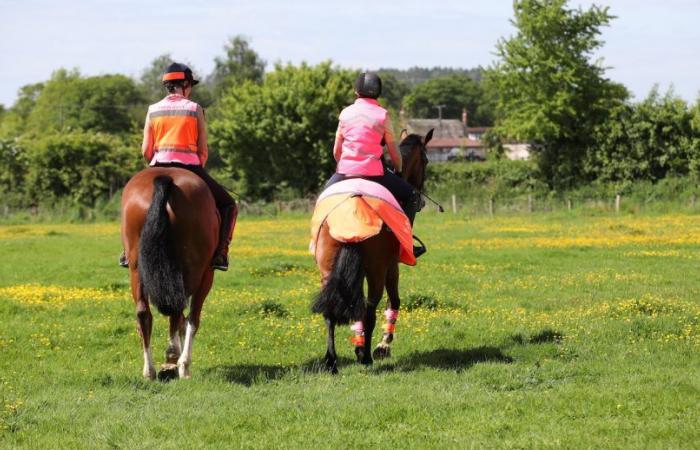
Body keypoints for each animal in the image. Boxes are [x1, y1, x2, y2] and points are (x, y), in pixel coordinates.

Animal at [120, 167, 219, 378]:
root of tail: (164, 179)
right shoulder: (206, 275)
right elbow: (191, 318)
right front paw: (178, 360)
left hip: (137, 268)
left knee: (143, 313)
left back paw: (149, 371)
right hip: (193, 269)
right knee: (182, 312)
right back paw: (180, 363)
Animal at [312, 129, 432, 372]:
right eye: (425, 160)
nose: (422, 200)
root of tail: (353, 205)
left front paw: (359, 345)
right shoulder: (392, 265)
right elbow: (393, 301)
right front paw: (382, 345)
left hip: (328, 267)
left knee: (332, 309)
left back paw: (332, 361)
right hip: (377, 270)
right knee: (369, 308)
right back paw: (366, 356)